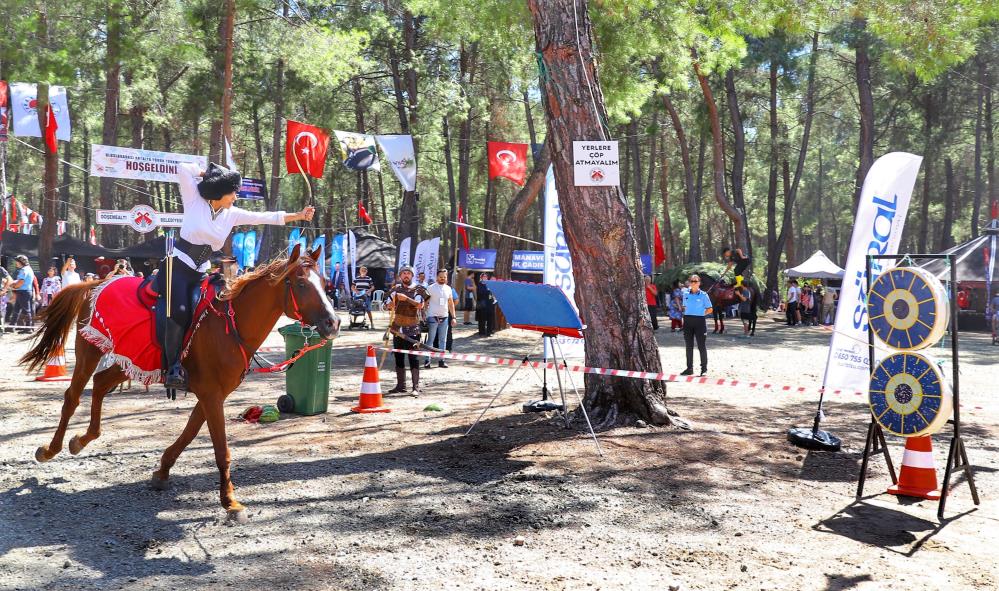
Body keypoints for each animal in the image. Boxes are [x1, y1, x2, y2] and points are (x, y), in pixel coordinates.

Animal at [18, 246, 340, 524]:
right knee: (73, 396)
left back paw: (81, 440)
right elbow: (221, 449)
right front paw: (230, 501)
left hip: (130, 359)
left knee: (99, 383)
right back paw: (50, 449)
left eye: (325, 283)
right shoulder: (211, 395)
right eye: (301, 284)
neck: (229, 325)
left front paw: (162, 471)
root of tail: (94, 284)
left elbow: (189, 433)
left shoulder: (213, 394)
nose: (333, 323)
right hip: (90, 350)